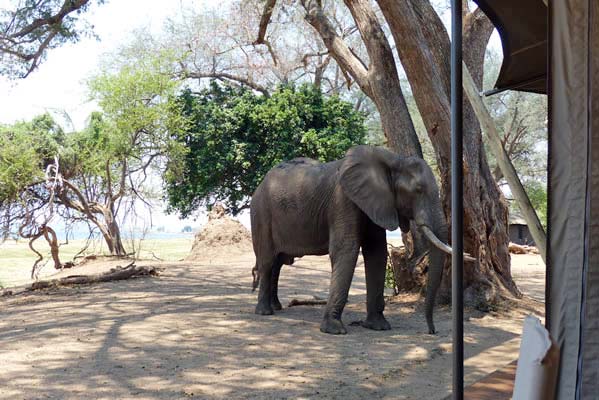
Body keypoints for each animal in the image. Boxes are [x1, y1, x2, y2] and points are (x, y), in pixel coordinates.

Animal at [248, 145, 464, 334]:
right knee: (268, 261)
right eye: (418, 190)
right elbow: (346, 249)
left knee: (278, 263)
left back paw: (276, 307)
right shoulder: (343, 199)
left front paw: (379, 327)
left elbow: (376, 252)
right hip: (261, 213)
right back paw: (265, 312)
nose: (432, 330)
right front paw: (334, 330)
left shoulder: (378, 202)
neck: (393, 160)